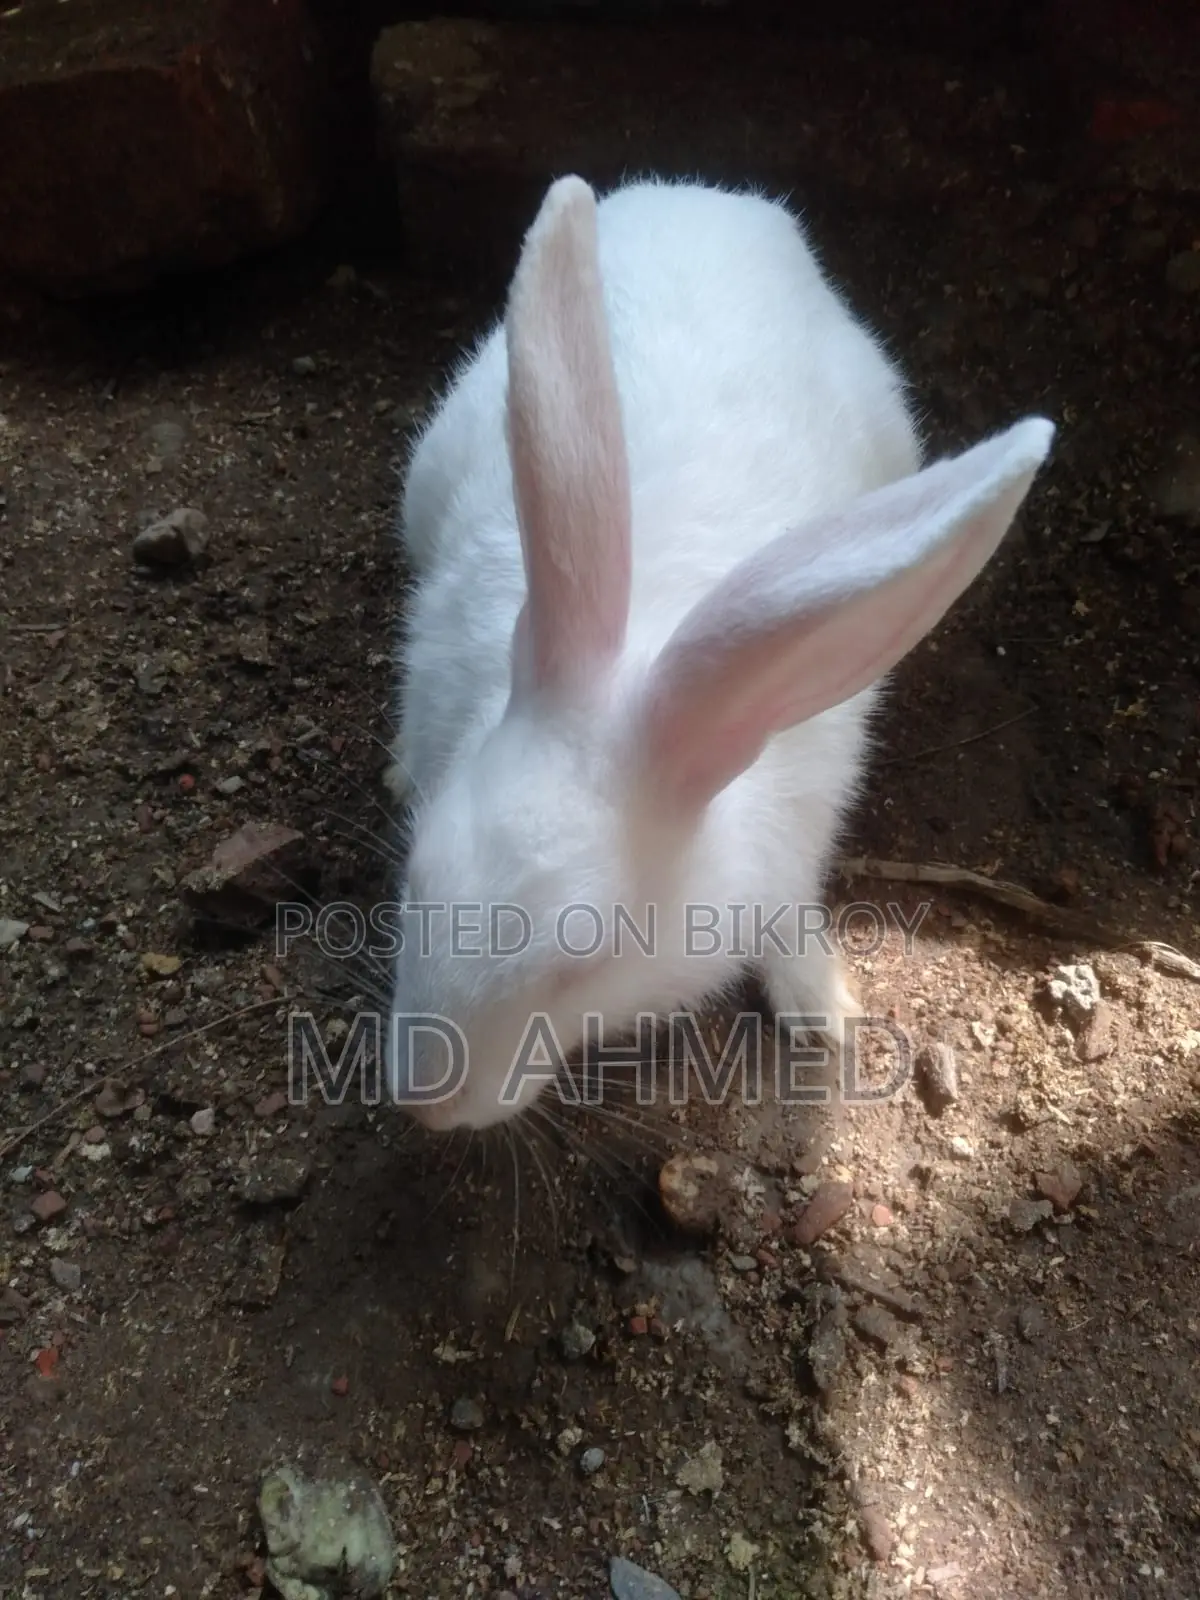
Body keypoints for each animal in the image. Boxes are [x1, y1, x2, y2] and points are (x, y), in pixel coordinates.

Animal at [381, 173, 1054, 1133]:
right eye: (415, 877)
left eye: (583, 963)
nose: (423, 1103)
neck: (638, 655)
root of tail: (706, 194)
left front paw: (823, 1011)